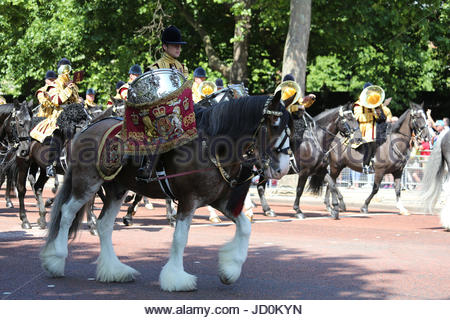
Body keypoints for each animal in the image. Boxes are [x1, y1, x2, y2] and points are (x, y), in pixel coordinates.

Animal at [41, 69, 292, 292]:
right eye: (275, 125)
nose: (283, 168)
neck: (211, 147)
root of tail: (85, 129)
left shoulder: (220, 200)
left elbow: (245, 227)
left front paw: (229, 270)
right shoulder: (189, 200)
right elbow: (180, 238)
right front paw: (177, 279)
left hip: (116, 189)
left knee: (104, 225)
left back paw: (114, 270)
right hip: (87, 183)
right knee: (66, 212)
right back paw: (56, 259)